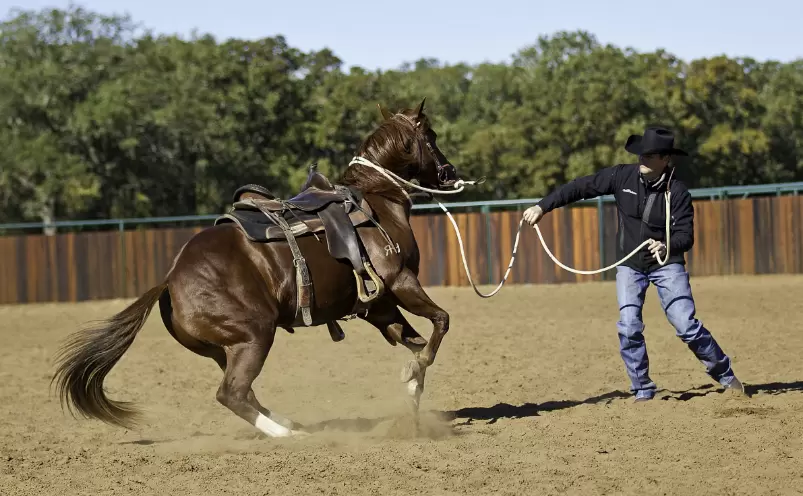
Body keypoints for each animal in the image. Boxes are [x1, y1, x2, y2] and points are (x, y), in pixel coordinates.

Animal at [50, 97, 462, 438]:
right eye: (431, 135)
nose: (449, 173)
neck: (378, 200)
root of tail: (170, 280)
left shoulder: (378, 306)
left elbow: (416, 340)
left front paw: (413, 387)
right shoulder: (400, 281)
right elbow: (441, 323)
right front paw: (415, 372)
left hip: (226, 348)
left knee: (244, 392)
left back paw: (287, 423)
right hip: (255, 335)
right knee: (231, 393)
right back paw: (287, 434)